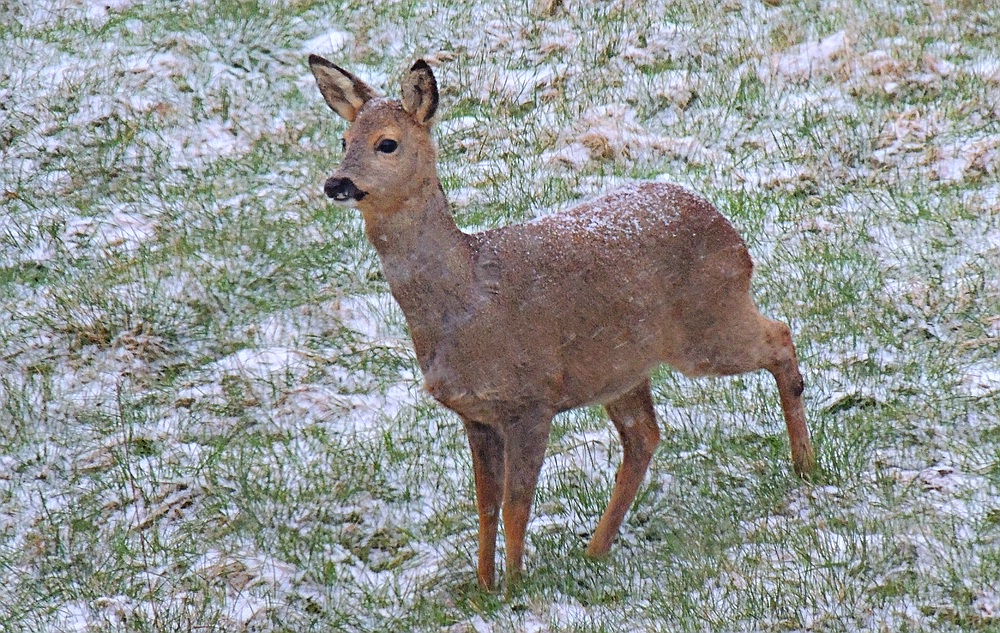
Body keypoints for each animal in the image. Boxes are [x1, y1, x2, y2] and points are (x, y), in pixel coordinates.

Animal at [308, 56, 816, 592]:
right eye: (343, 139)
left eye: (387, 142)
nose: (336, 183)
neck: (465, 301)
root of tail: (733, 235)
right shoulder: (475, 413)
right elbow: (485, 505)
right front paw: (483, 589)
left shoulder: (531, 399)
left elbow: (516, 505)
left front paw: (514, 587)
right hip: (623, 367)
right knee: (644, 437)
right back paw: (595, 550)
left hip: (706, 324)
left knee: (780, 334)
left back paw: (805, 466)